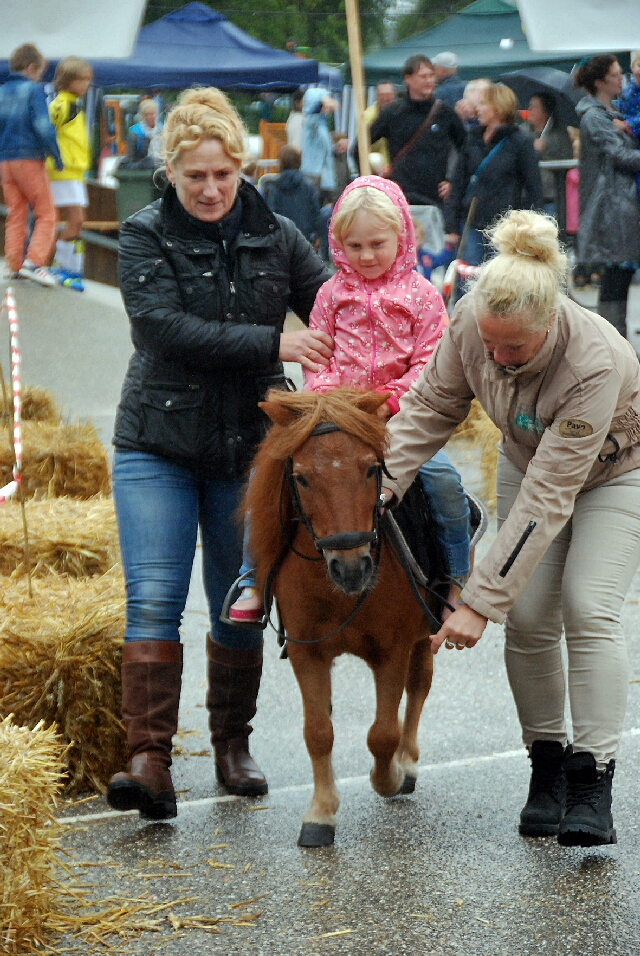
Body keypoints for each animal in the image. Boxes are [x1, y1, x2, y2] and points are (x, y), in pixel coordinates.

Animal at [245, 384, 440, 848]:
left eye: (371, 469)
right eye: (301, 477)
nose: (352, 568)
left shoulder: (392, 649)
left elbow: (382, 734)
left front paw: (388, 777)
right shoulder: (307, 653)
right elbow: (318, 732)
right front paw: (320, 814)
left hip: (425, 634)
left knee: (419, 685)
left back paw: (407, 763)